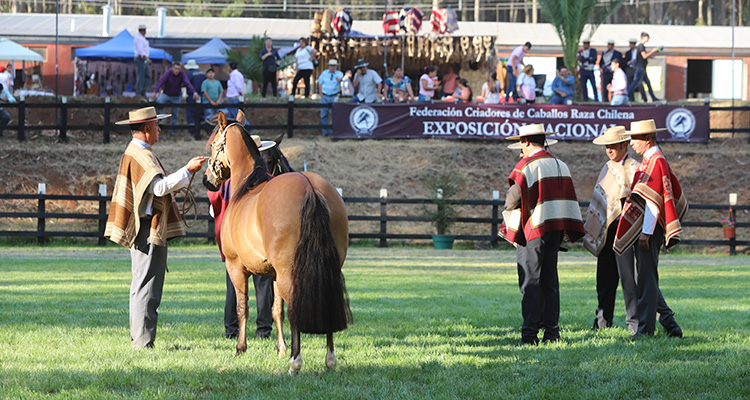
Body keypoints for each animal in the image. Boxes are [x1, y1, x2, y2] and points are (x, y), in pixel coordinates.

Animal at [204, 111, 354, 374]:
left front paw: (241, 348)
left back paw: (296, 362)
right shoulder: (273, 274)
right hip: (327, 269)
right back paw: (329, 360)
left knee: (294, 307)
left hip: (288, 273)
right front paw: (280, 349)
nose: (207, 180)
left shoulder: (236, 267)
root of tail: (310, 187)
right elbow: (276, 310)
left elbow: (242, 307)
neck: (248, 185)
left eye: (213, 144)